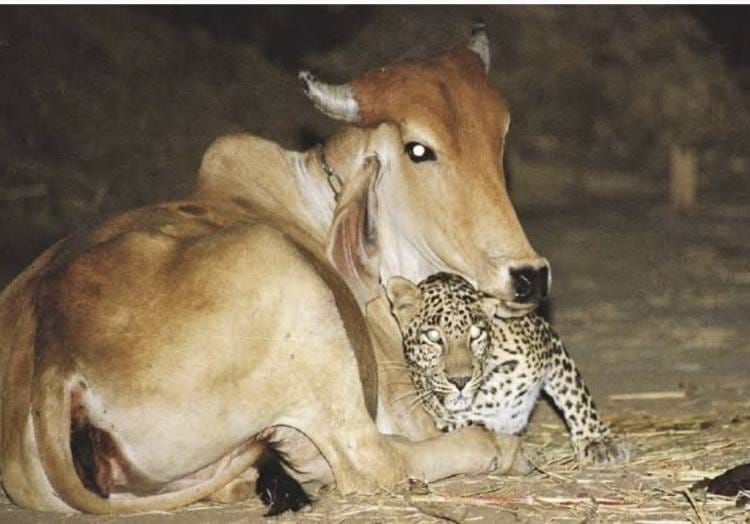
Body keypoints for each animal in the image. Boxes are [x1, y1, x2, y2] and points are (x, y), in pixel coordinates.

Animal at [0, 23, 546, 514]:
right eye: (419, 150)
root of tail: (53, 366)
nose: (528, 275)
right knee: (371, 461)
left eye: (499, 135)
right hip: (294, 293)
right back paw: (504, 450)